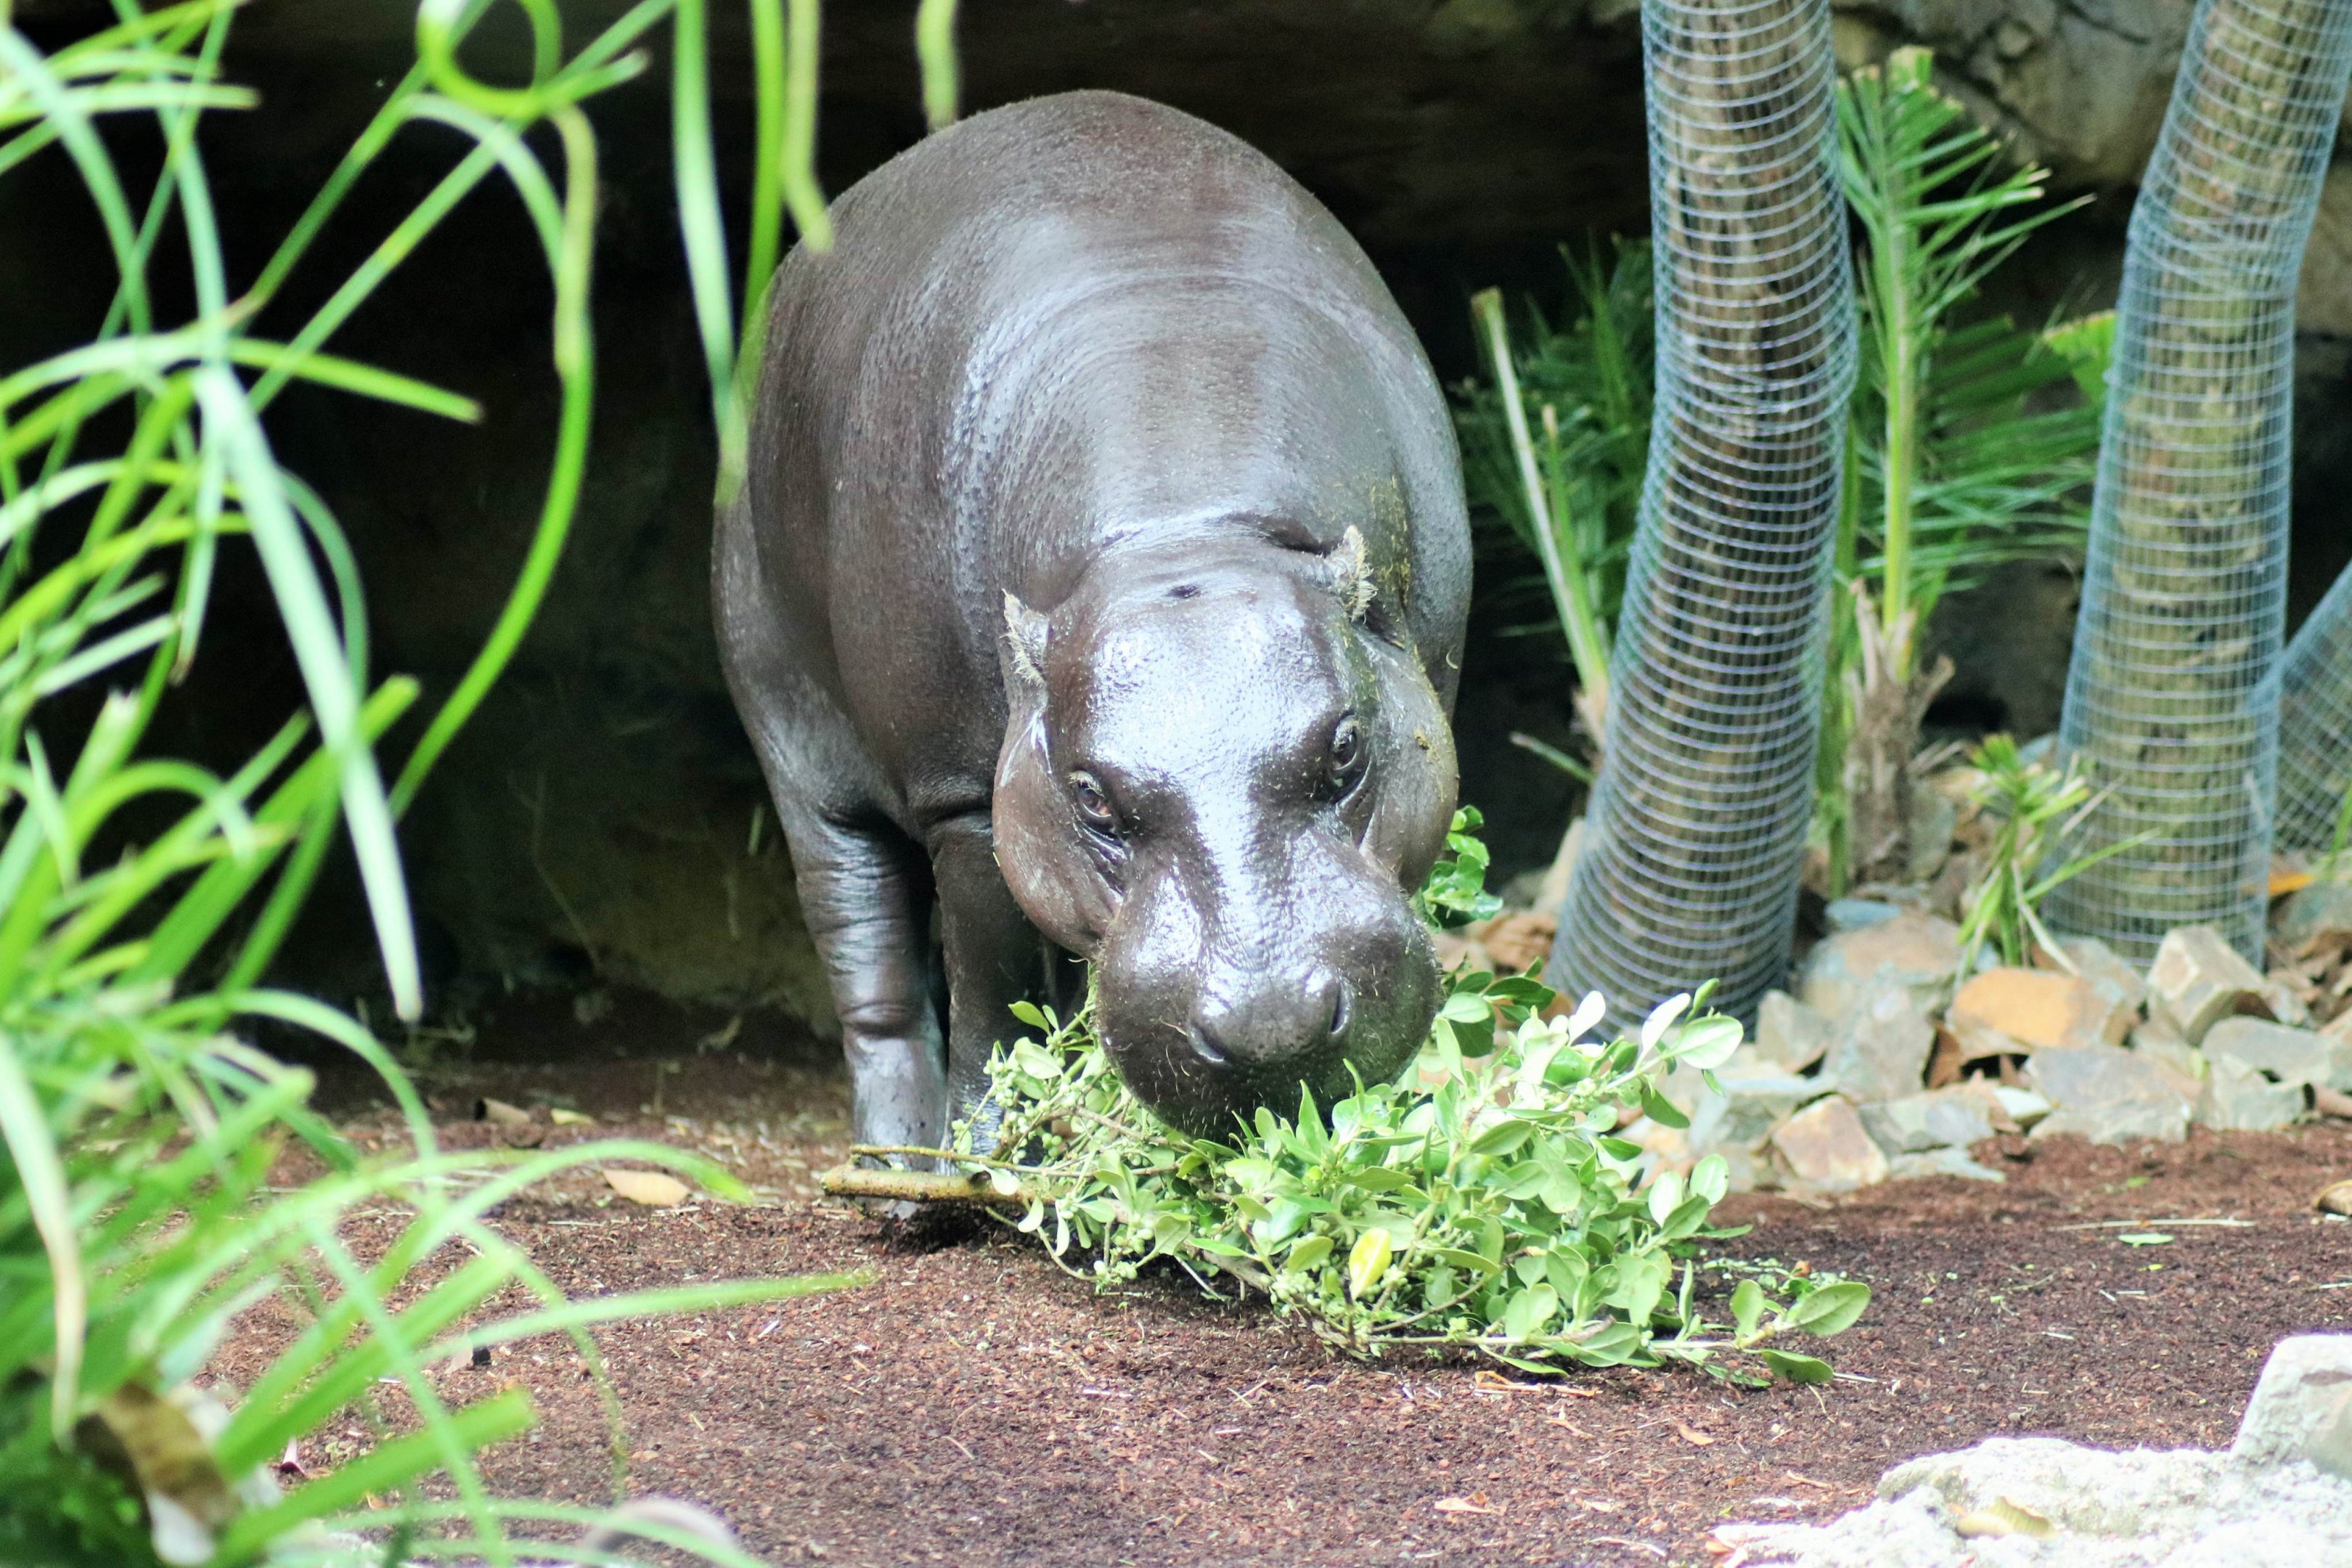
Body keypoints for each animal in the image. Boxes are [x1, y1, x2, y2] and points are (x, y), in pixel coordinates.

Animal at [714, 90, 1470, 1149]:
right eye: (1092, 798)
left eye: (1349, 748)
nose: (1272, 1027)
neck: (1183, 534)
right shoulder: (962, 799)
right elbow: (990, 1000)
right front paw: (988, 1149)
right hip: (798, 749)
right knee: (871, 959)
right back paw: (900, 1155)